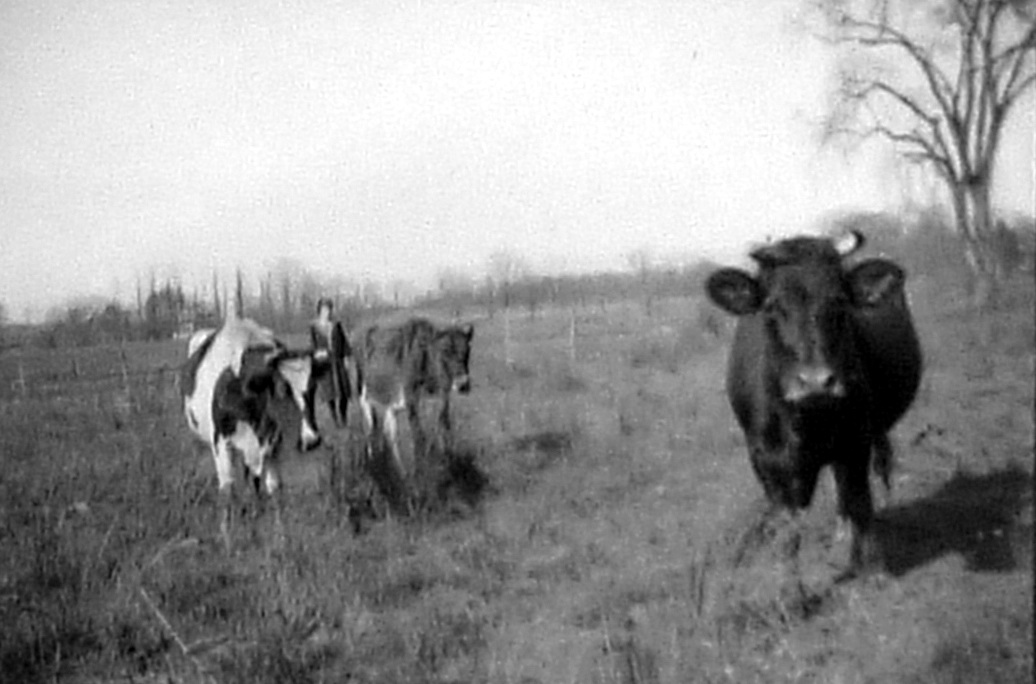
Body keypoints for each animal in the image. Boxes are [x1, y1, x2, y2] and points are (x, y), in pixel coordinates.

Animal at [181, 315, 328, 550]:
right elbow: (227, 490)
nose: (312, 439)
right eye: (283, 388)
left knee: (253, 481)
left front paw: (281, 538)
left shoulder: (275, 444)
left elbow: (274, 488)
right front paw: (227, 540)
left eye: (313, 387)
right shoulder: (221, 444)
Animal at [357, 318, 474, 501]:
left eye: (467, 350)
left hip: (391, 405)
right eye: (445, 351)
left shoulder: (442, 398)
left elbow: (444, 429)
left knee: (390, 435)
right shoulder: (412, 401)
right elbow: (419, 437)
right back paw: (375, 466)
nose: (463, 384)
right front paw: (420, 480)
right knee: (370, 430)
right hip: (364, 396)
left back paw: (400, 473)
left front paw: (449, 468)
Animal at [705, 231, 922, 572]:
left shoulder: (855, 443)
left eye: (839, 301)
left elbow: (861, 504)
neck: (802, 423)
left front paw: (873, 568)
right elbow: (787, 530)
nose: (816, 383)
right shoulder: (766, 462)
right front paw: (789, 584)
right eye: (771, 306)